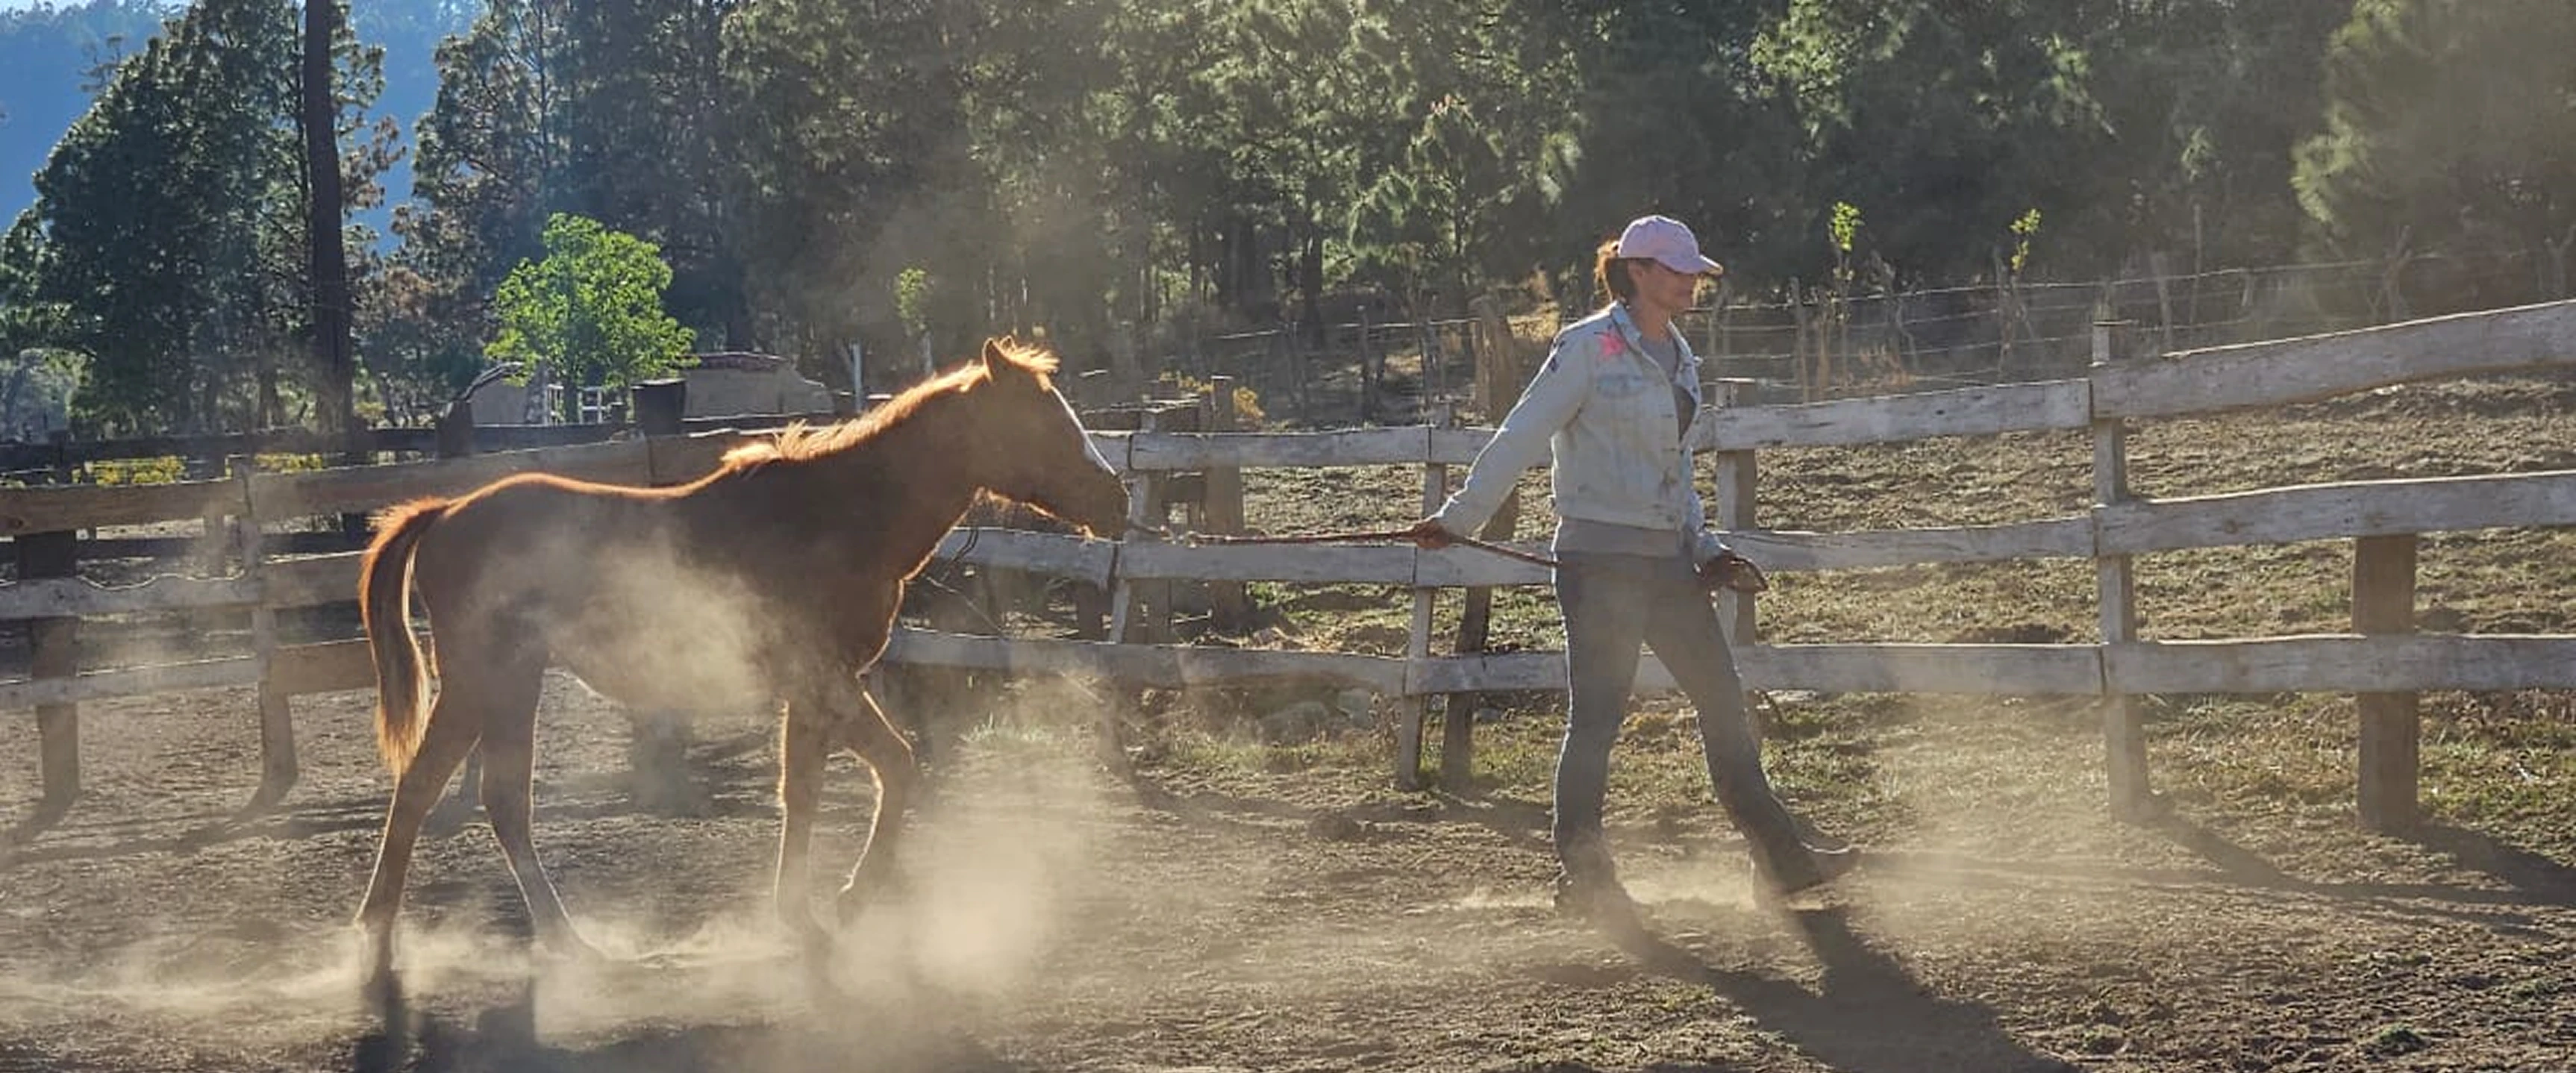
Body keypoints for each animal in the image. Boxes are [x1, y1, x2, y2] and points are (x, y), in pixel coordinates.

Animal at [352, 334, 1128, 977]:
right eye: (1045, 421)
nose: (1117, 501)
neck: (839, 516)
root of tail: (444, 515)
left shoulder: (821, 691)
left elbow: (832, 783)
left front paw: (816, 909)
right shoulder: (820, 684)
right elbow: (878, 773)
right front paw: (837, 905)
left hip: (505, 687)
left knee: (484, 800)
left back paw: (551, 940)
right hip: (485, 684)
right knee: (442, 793)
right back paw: (390, 938)